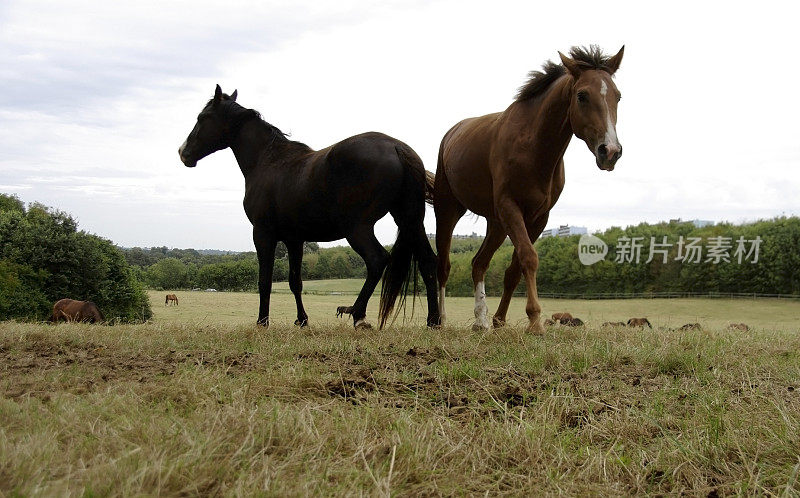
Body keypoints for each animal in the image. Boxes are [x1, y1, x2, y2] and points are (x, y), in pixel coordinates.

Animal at [179, 86, 440, 330]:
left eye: (202, 117)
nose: (183, 152)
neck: (268, 160)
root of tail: (396, 147)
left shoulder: (263, 234)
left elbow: (265, 281)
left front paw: (262, 321)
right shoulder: (294, 239)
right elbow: (295, 281)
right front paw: (302, 319)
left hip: (358, 228)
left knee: (377, 260)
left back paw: (357, 313)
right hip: (410, 221)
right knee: (428, 262)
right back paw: (433, 320)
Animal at [432, 45, 624, 334]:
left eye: (618, 96)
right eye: (582, 95)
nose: (610, 151)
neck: (533, 146)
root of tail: (452, 133)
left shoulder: (538, 217)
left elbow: (514, 269)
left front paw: (500, 320)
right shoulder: (511, 207)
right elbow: (529, 257)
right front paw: (534, 321)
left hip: (496, 223)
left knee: (479, 264)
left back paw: (481, 321)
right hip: (448, 210)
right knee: (443, 265)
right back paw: (440, 320)